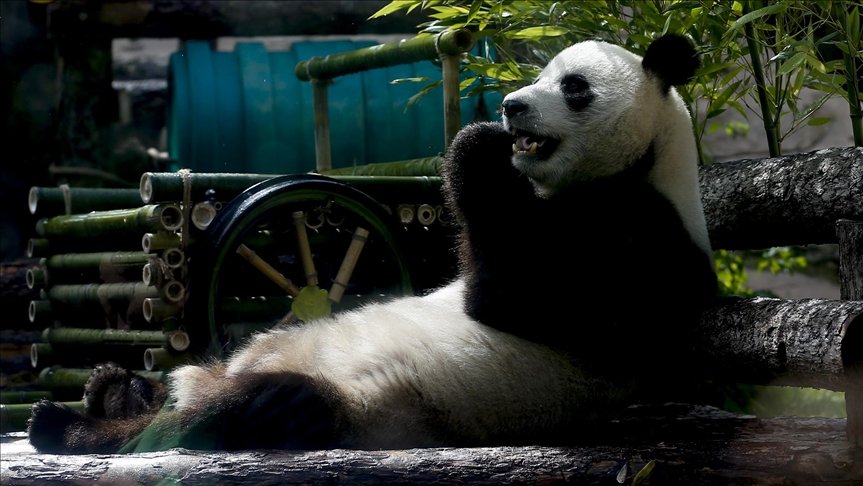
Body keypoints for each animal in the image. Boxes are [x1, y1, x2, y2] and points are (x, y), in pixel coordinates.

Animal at [27, 33, 717, 454]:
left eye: (573, 86)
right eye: (538, 73)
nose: (513, 106)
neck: (648, 163)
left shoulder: (639, 234)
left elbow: (519, 297)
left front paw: (477, 145)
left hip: (364, 403)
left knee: (229, 414)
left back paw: (70, 425)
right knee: (187, 389)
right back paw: (115, 389)